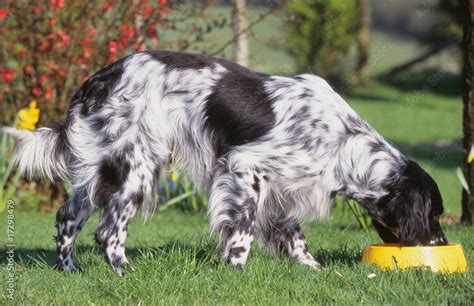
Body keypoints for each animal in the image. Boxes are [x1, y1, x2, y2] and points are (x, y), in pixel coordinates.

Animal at [2, 50, 448, 274]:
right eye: (436, 216)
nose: (441, 246)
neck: (344, 143)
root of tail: (101, 77)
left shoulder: (281, 190)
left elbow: (295, 238)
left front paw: (314, 270)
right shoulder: (246, 168)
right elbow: (243, 232)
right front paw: (236, 271)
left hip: (105, 170)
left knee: (67, 217)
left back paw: (70, 269)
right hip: (139, 168)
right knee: (108, 231)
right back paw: (125, 273)